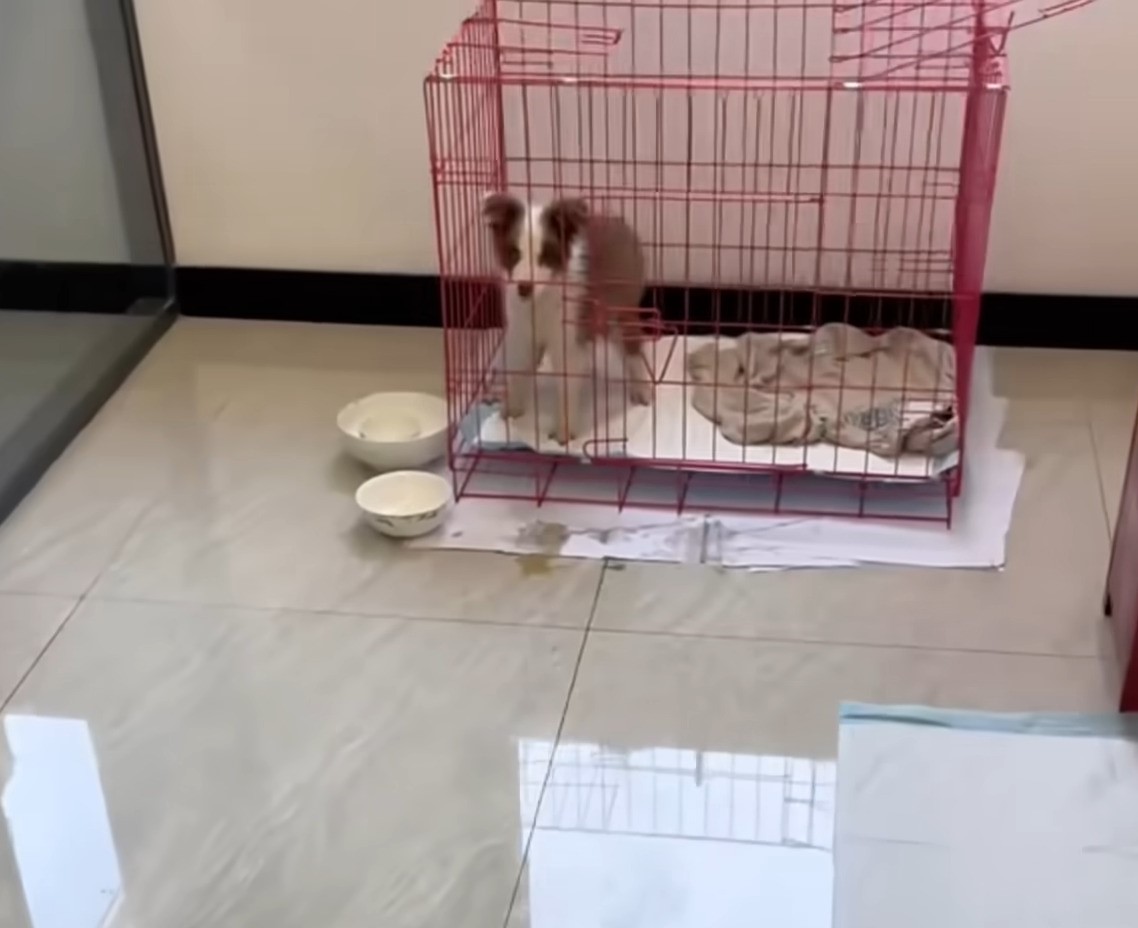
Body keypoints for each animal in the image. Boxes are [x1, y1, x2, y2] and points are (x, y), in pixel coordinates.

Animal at [482, 192, 660, 446]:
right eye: (514, 253)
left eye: (546, 255)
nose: (524, 288)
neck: (542, 297)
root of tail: (620, 222)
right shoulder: (521, 332)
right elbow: (519, 369)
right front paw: (512, 407)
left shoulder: (568, 337)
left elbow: (567, 383)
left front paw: (564, 430)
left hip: (620, 310)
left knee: (632, 348)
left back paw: (642, 388)